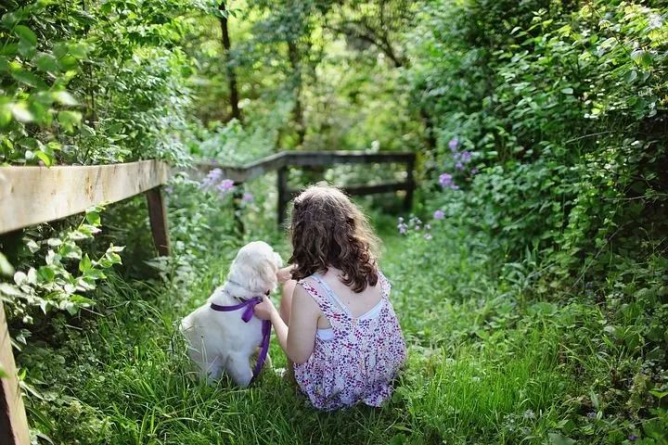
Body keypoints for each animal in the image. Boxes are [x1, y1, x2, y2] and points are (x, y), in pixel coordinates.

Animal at [179, 240, 280, 386]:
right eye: (272, 252)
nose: (279, 254)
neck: (244, 301)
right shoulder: (237, 356)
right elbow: (246, 376)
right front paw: (251, 389)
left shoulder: (259, 344)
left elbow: (266, 359)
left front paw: (276, 373)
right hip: (209, 368)